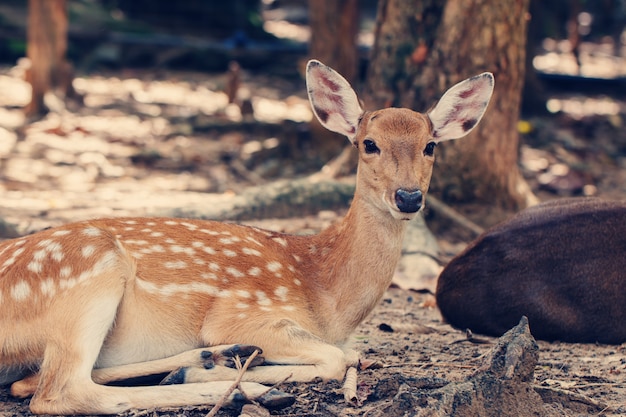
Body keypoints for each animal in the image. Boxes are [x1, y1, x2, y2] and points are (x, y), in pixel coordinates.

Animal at [0, 59, 494, 412]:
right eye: (369, 144)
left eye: (431, 145)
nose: (408, 197)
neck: (326, 295)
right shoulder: (243, 310)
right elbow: (338, 359)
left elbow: (348, 355)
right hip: (90, 273)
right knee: (57, 392)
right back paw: (245, 389)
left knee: (34, 381)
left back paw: (215, 363)